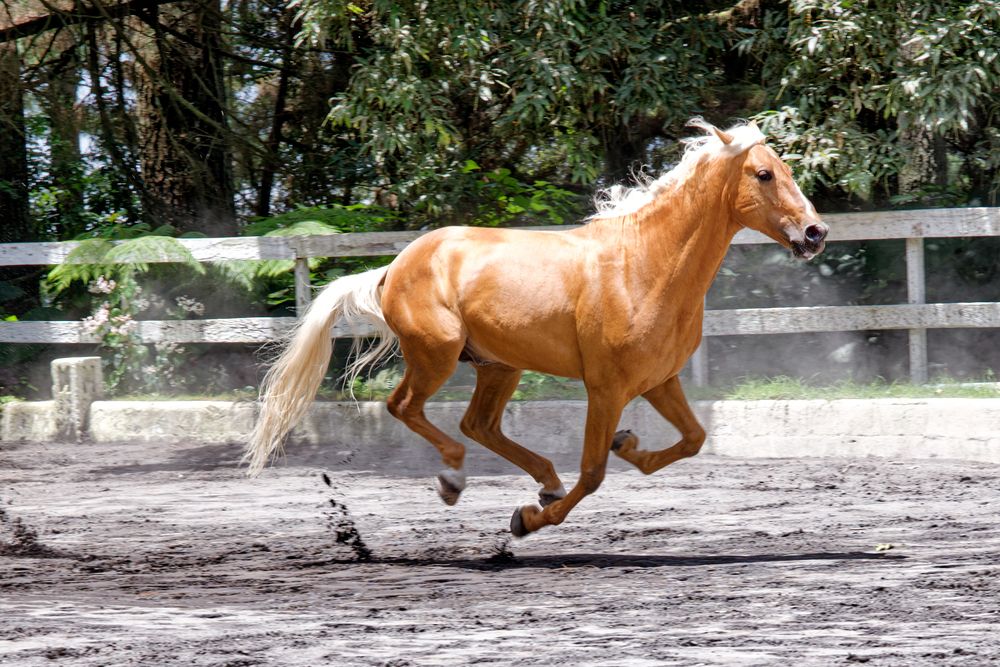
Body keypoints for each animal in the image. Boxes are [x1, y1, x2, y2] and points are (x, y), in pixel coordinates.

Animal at [244, 118, 828, 537]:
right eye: (764, 174)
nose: (815, 232)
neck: (645, 264)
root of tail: (396, 266)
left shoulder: (660, 380)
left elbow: (693, 439)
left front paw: (628, 445)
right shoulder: (606, 386)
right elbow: (593, 473)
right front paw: (525, 521)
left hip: (499, 366)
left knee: (478, 424)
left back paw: (543, 482)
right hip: (437, 354)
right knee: (404, 407)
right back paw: (455, 480)